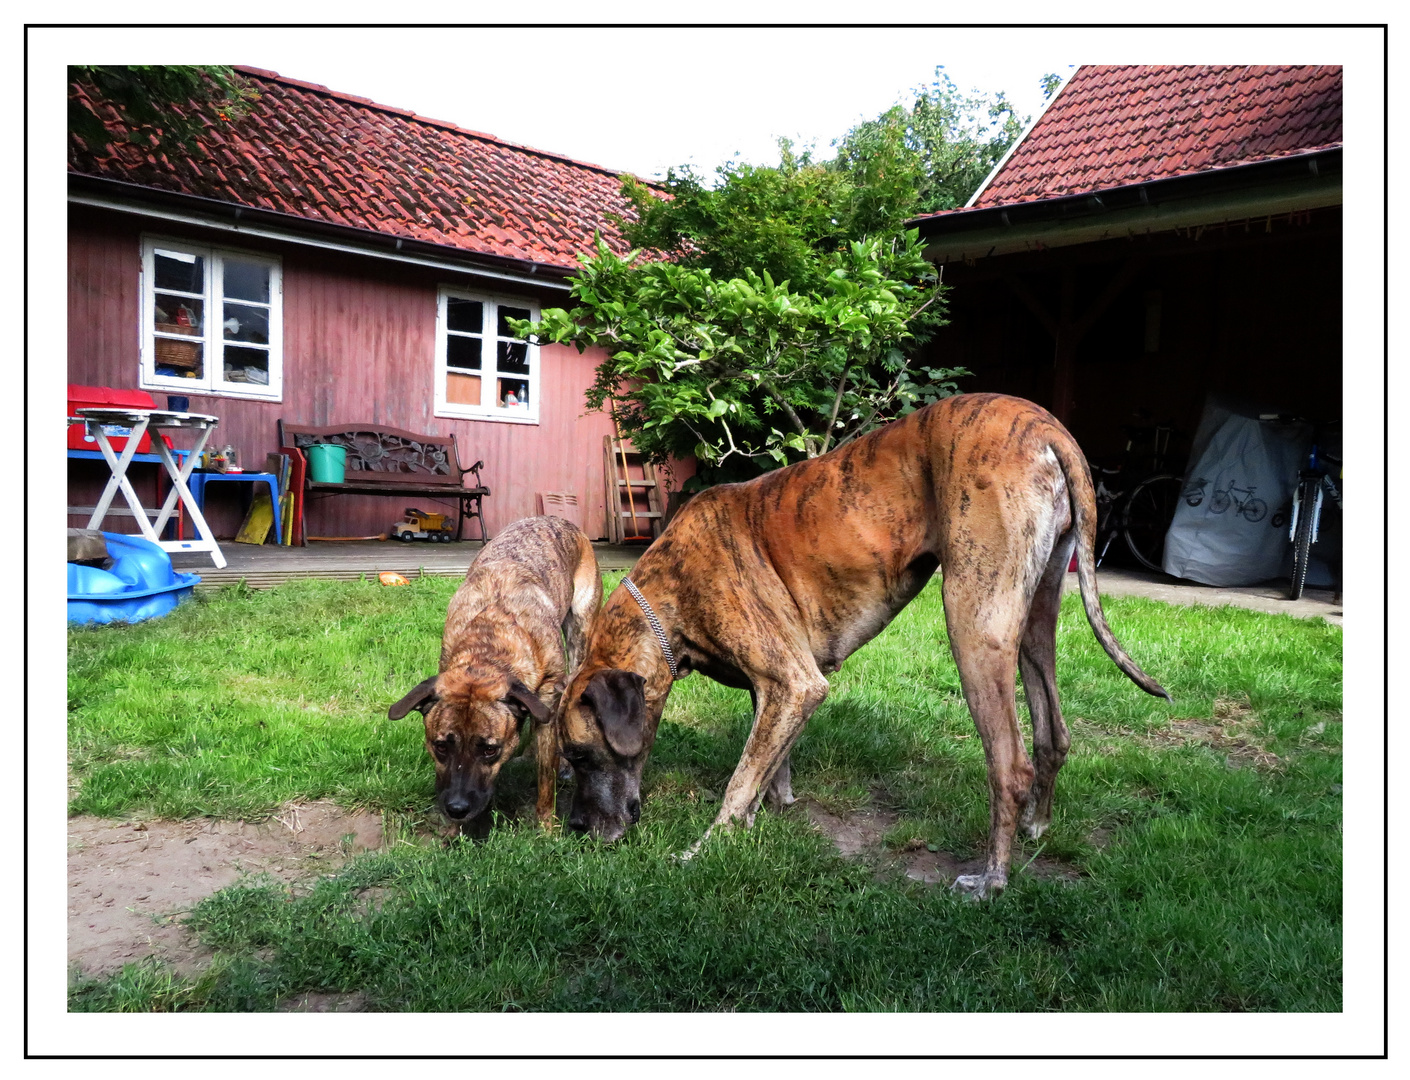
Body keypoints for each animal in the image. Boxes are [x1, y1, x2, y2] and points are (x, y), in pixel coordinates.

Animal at [389, 516, 603, 829]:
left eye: (490, 749)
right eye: (440, 746)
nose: (456, 808)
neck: (490, 642)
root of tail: (558, 520)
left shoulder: (548, 693)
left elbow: (546, 777)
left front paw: (546, 827)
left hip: (580, 635)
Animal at [558, 394, 1167, 902]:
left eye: (581, 756)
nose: (578, 832)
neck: (667, 597)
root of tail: (1045, 424)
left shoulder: (792, 682)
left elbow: (739, 780)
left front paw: (705, 849)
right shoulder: (780, 691)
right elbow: (768, 766)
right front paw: (765, 817)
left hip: (974, 620)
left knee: (1009, 765)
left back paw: (990, 880)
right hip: (1036, 618)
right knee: (1052, 734)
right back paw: (1037, 827)